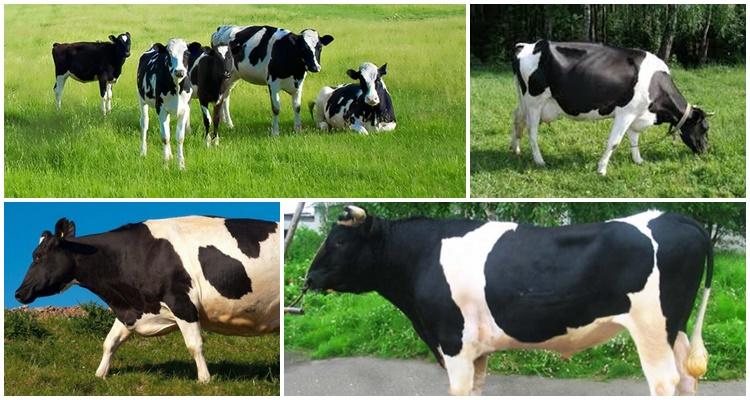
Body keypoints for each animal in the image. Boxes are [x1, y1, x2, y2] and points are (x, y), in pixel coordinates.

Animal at [14, 215, 280, 382]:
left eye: (38, 256)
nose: (18, 292)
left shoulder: (182, 302)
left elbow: (195, 345)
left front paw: (205, 380)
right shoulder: (131, 309)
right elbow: (109, 342)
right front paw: (100, 375)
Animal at [137, 39, 193, 170]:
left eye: (186, 54)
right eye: (168, 54)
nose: (179, 72)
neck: (177, 88)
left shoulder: (185, 110)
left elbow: (180, 137)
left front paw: (181, 166)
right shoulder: (161, 109)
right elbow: (165, 137)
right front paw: (165, 165)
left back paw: (170, 155)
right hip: (142, 100)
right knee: (144, 124)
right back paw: (143, 152)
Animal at [304, 205, 713, 396]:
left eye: (339, 242)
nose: (308, 278)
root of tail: (676, 217)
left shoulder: (454, 344)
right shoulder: (476, 350)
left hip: (652, 328)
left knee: (665, 381)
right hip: (675, 327)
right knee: (687, 379)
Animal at [511, 40, 711, 175]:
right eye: (704, 128)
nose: (705, 150)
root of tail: (529, 44)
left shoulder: (636, 114)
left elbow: (634, 139)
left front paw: (638, 160)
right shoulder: (625, 112)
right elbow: (614, 142)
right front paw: (601, 169)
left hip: (525, 101)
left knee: (517, 119)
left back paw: (515, 149)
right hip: (535, 102)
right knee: (532, 132)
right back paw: (539, 161)